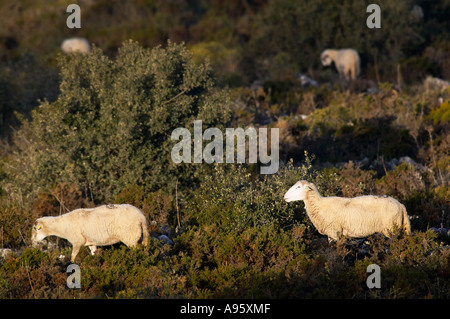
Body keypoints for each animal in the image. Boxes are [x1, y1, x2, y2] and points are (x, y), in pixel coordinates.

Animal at [284, 181, 412, 241]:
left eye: (298, 187)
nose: (284, 196)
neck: (319, 205)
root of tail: (401, 205)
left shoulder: (334, 232)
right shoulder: (331, 234)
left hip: (391, 229)